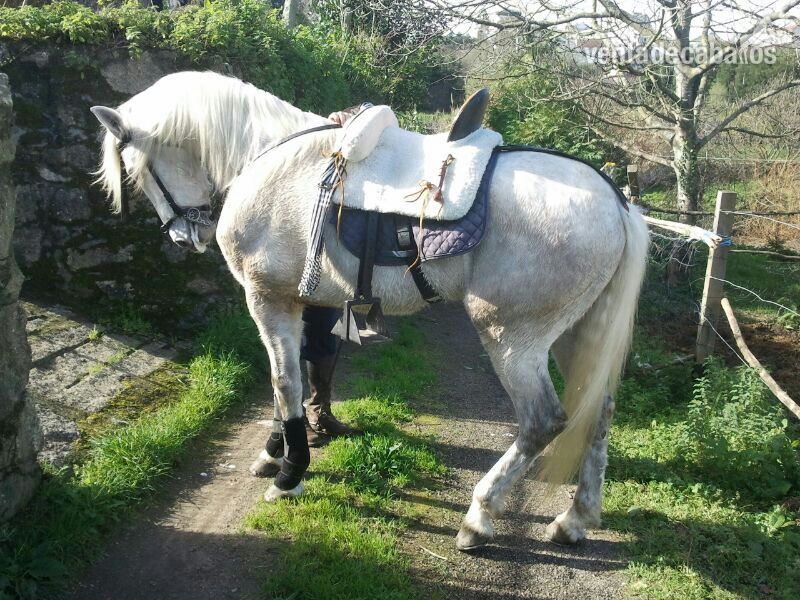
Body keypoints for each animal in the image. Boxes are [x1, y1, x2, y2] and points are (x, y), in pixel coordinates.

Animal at [91, 71, 649, 551]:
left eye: (139, 170)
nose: (185, 236)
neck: (271, 160)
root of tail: (618, 205)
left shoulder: (267, 299)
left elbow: (284, 382)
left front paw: (290, 473)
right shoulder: (300, 304)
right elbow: (294, 377)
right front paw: (275, 451)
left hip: (513, 341)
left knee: (542, 422)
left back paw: (479, 516)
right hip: (577, 336)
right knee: (601, 410)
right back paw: (576, 519)